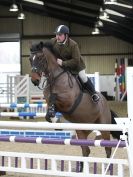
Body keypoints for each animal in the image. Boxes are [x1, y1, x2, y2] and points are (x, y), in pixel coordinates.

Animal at [29, 40, 121, 171]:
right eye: (30, 59)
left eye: (41, 58)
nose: (34, 80)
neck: (55, 78)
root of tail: (106, 105)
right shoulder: (52, 102)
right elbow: (49, 111)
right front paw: (55, 121)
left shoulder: (68, 101)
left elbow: (54, 97)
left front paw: (55, 119)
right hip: (82, 130)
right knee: (86, 150)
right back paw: (81, 169)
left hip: (104, 127)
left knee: (107, 148)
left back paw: (107, 168)